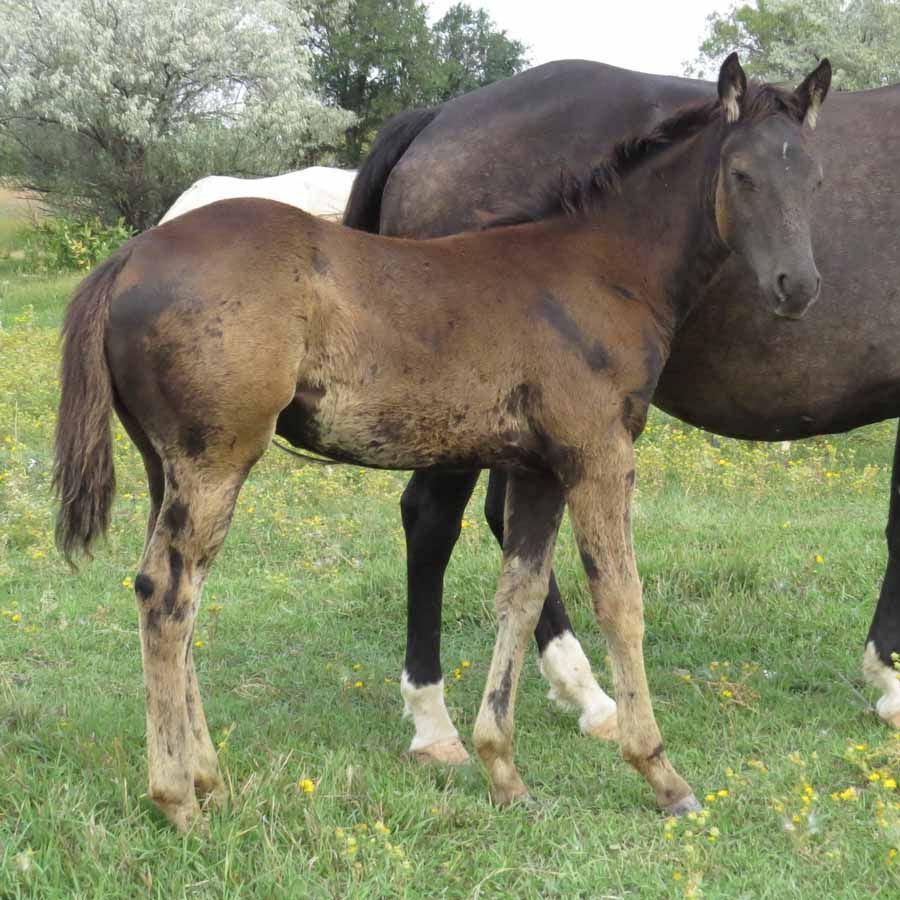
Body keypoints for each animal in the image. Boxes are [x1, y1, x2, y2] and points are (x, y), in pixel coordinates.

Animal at [344, 59, 900, 762]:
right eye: (741, 176)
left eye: (818, 180)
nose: (797, 287)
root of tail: (439, 116)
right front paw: (889, 679)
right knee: (432, 521)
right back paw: (435, 721)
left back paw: (586, 695)